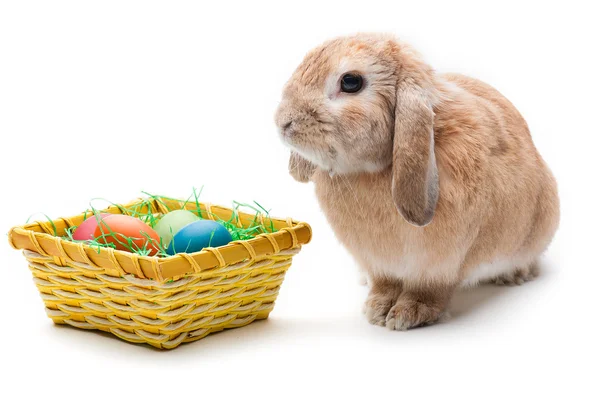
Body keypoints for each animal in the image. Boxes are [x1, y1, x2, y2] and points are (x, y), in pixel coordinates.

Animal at [274, 33, 560, 330]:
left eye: (351, 82)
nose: (283, 123)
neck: (369, 171)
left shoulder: (439, 265)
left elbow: (429, 290)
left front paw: (408, 313)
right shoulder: (379, 264)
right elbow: (384, 284)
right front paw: (376, 309)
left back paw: (512, 276)